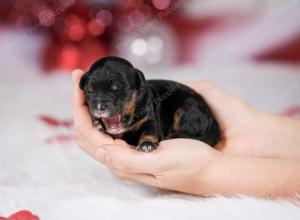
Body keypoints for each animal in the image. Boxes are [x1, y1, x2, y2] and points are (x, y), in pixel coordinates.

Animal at [79, 55, 220, 152]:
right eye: (90, 91)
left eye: (118, 90)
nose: (99, 107)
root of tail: (211, 116)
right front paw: (98, 123)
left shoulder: (150, 118)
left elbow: (150, 130)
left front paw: (147, 144)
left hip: (187, 109)